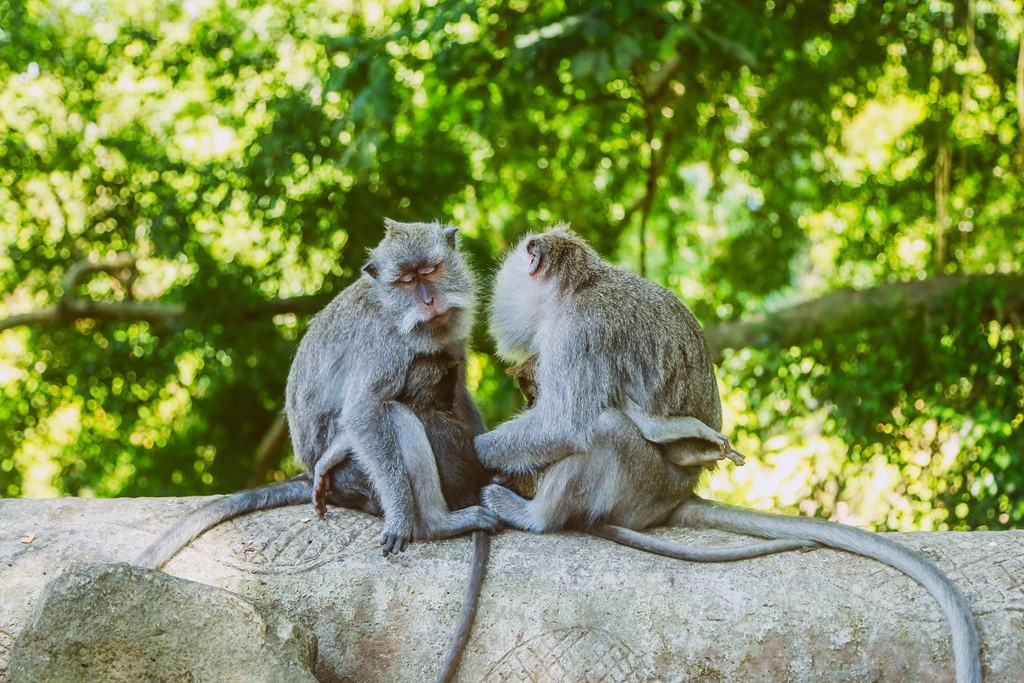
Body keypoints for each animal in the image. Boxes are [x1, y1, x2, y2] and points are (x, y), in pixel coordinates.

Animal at [475, 226, 981, 683]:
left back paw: (537, 515)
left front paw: (477, 450)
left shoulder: (579, 333)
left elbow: (563, 422)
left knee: (605, 428)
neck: (581, 288)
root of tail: (679, 497)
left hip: (641, 486)